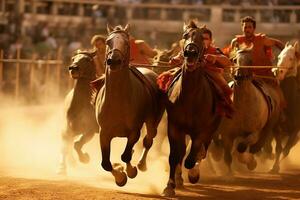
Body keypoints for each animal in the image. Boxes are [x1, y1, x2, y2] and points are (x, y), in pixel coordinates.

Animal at [94, 24, 164, 186]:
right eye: (108, 42)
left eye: (126, 43)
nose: (114, 61)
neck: (117, 99)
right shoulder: (104, 133)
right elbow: (105, 163)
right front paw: (120, 176)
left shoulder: (134, 131)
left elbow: (126, 155)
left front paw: (130, 171)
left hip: (153, 121)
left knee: (149, 140)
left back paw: (141, 164)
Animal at [163, 21, 221, 196]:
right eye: (185, 35)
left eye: (203, 37)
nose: (190, 53)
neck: (190, 98)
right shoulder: (174, 127)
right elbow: (175, 156)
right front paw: (169, 186)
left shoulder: (202, 131)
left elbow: (192, 157)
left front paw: (193, 174)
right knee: (182, 152)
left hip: (211, 129)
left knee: (202, 151)